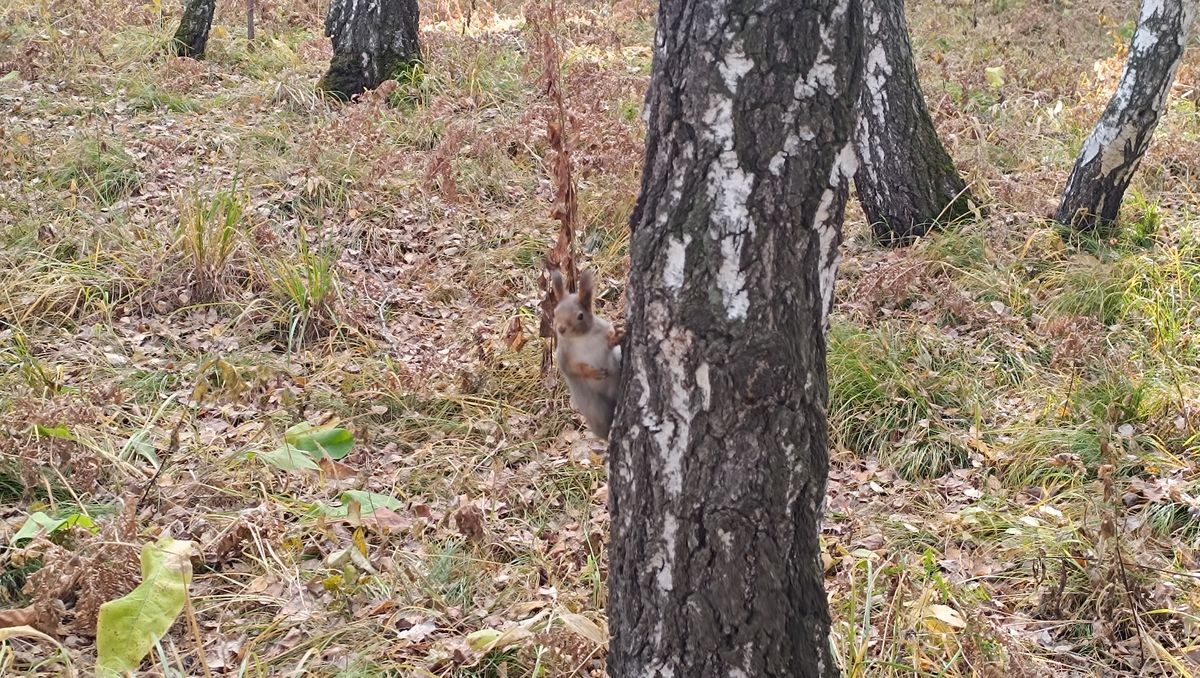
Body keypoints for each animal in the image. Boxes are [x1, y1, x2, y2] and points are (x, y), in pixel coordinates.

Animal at [552, 268, 624, 439]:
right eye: (555, 312)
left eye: (580, 316)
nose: (561, 329)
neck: (581, 338)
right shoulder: (563, 356)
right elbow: (573, 369)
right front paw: (592, 372)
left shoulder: (602, 332)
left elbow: (609, 344)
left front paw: (616, 336)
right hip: (595, 408)